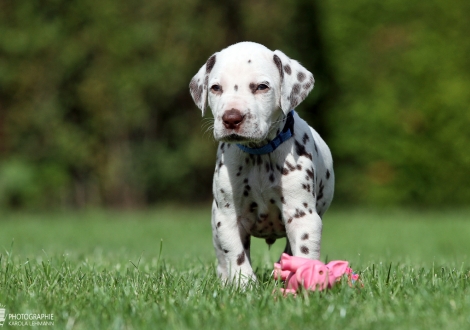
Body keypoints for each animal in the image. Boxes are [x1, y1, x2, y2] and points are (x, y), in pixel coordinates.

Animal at [188, 42, 334, 286]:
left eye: (261, 87)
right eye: (216, 88)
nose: (231, 118)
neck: (259, 154)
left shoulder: (303, 216)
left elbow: (304, 252)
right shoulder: (228, 218)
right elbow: (236, 256)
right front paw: (245, 285)